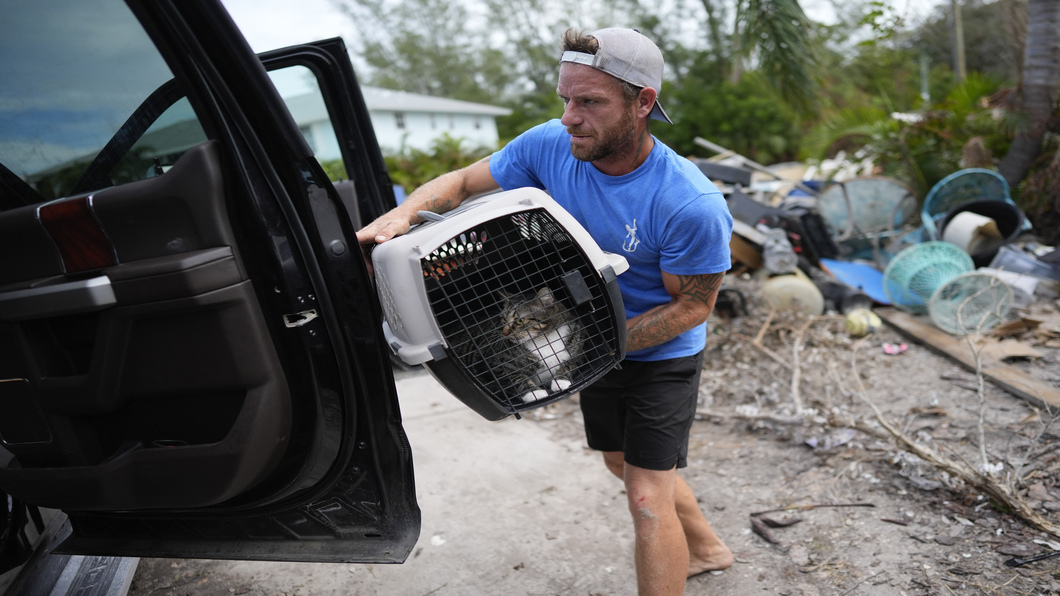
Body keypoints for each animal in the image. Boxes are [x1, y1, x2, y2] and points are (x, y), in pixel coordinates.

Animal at [373, 185, 623, 417]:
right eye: (502, 319)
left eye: (520, 321)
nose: (504, 333)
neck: (545, 341)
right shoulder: (496, 362)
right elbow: (515, 377)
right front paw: (534, 392)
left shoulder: (578, 345)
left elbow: (570, 362)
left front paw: (560, 380)